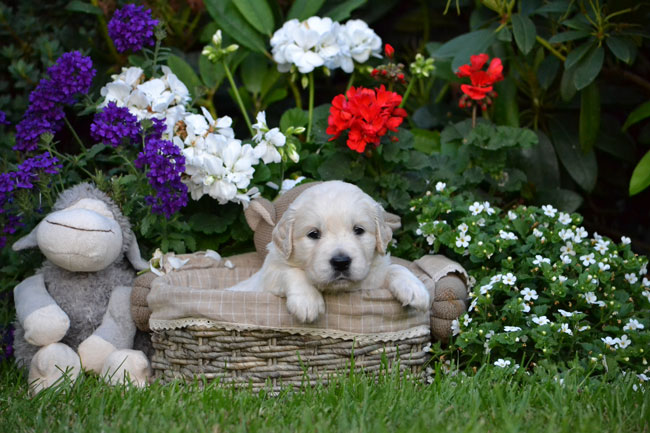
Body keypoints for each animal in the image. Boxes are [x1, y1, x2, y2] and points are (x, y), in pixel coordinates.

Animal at [228, 179, 430, 320]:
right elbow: (291, 271)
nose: (341, 262)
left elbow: (395, 267)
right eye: (313, 234)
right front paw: (307, 301)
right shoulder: (270, 275)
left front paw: (415, 289)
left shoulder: (373, 276)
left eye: (359, 230)